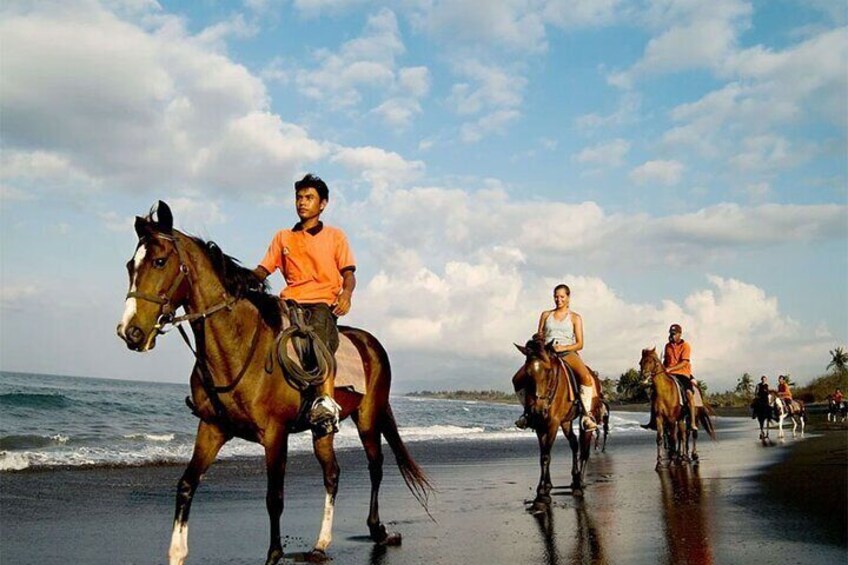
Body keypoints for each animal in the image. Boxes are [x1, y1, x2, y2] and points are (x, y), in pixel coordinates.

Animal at [116, 204, 430, 564]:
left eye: (159, 261)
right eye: (130, 265)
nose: (130, 332)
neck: (239, 347)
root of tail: (372, 343)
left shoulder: (275, 433)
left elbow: (274, 497)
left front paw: (274, 553)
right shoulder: (212, 428)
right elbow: (186, 485)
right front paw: (177, 553)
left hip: (368, 417)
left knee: (375, 466)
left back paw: (377, 529)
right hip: (323, 430)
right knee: (332, 474)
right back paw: (321, 543)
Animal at [512, 334, 600, 506]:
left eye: (548, 371)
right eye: (527, 373)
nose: (537, 409)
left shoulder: (553, 423)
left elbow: (546, 456)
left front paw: (542, 493)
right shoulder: (540, 425)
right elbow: (543, 455)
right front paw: (546, 486)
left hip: (584, 417)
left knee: (584, 449)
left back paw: (580, 483)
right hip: (565, 421)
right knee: (574, 442)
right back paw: (575, 478)